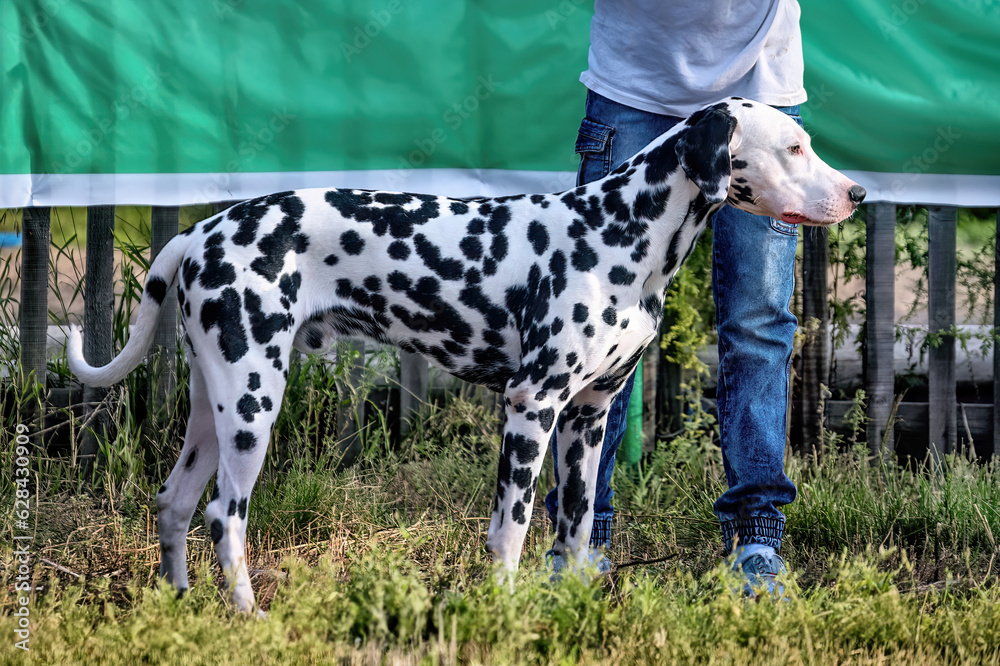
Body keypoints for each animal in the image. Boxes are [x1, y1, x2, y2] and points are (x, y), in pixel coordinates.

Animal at [66, 98, 864, 612]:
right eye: (794, 148)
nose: (857, 192)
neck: (620, 230)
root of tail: (197, 232)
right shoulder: (531, 408)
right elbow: (511, 530)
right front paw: (505, 613)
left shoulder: (589, 418)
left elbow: (575, 531)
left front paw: (568, 609)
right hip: (252, 405)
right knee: (223, 519)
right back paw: (249, 617)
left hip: (215, 407)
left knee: (174, 505)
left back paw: (178, 607)